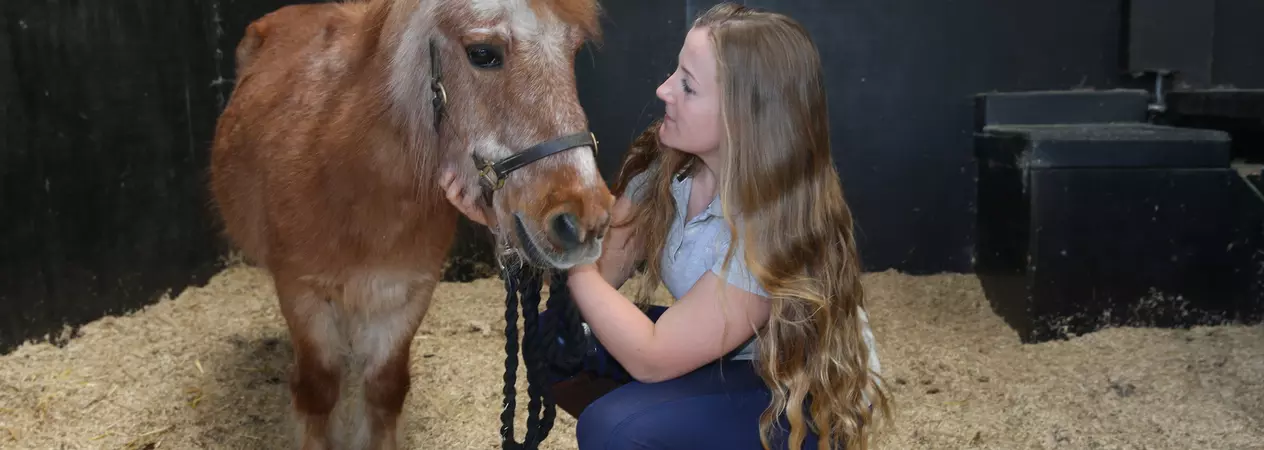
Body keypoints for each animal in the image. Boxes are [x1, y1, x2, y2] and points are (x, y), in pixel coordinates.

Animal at [207, 0, 612, 448]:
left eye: (573, 50)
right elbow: (318, 391)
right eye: (482, 54)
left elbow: (385, 387)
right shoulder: (302, 294)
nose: (585, 218)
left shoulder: (406, 294)